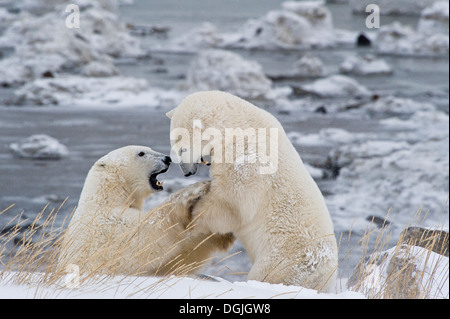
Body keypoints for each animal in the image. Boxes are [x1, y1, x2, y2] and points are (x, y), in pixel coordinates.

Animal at [166, 91, 338, 294]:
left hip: (287, 260)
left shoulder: (248, 158)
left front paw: (193, 214)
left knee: (268, 275)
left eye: (182, 149)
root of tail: (328, 277)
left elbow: (232, 203)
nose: (187, 172)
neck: (236, 125)